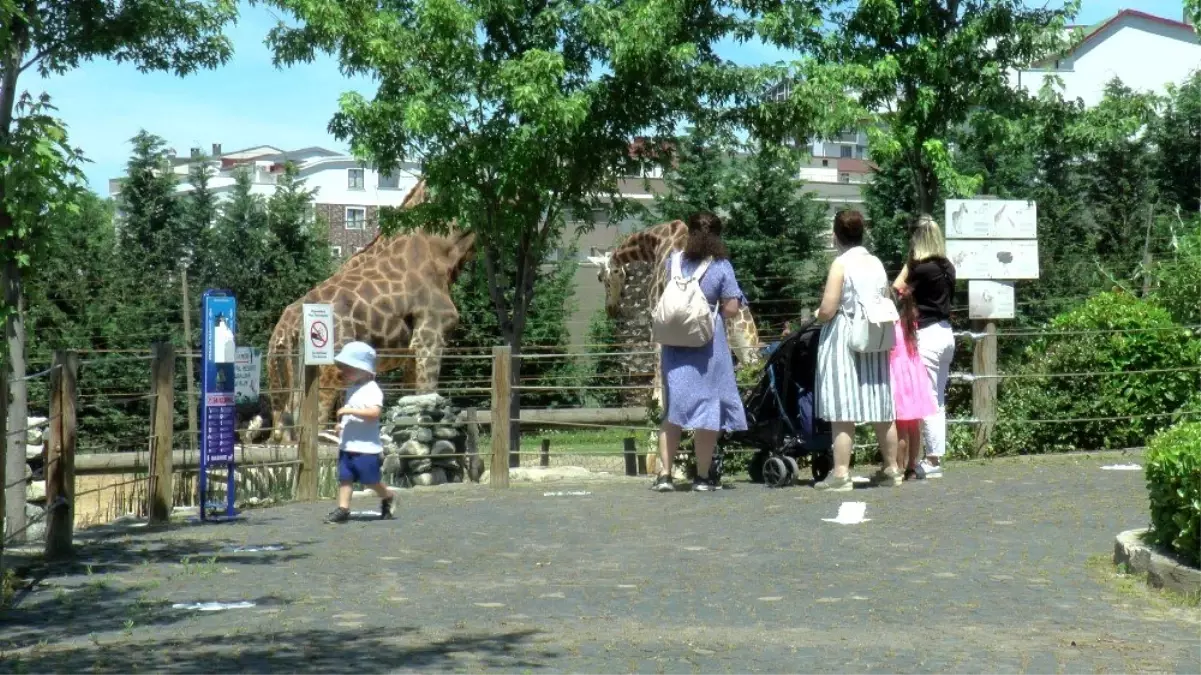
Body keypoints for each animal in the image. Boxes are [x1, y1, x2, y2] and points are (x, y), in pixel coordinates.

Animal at [261, 178, 473, 441]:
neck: (441, 255)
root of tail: (285, 329)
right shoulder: (429, 338)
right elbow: (427, 398)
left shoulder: (410, 354)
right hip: (325, 373)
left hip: (279, 381)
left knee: (282, 432)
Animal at [588, 218, 759, 470]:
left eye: (601, 278)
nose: (611, 309)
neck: (656, 240)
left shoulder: (657, 326)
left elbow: (660, 394)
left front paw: (659, 460)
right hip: (745, 342)